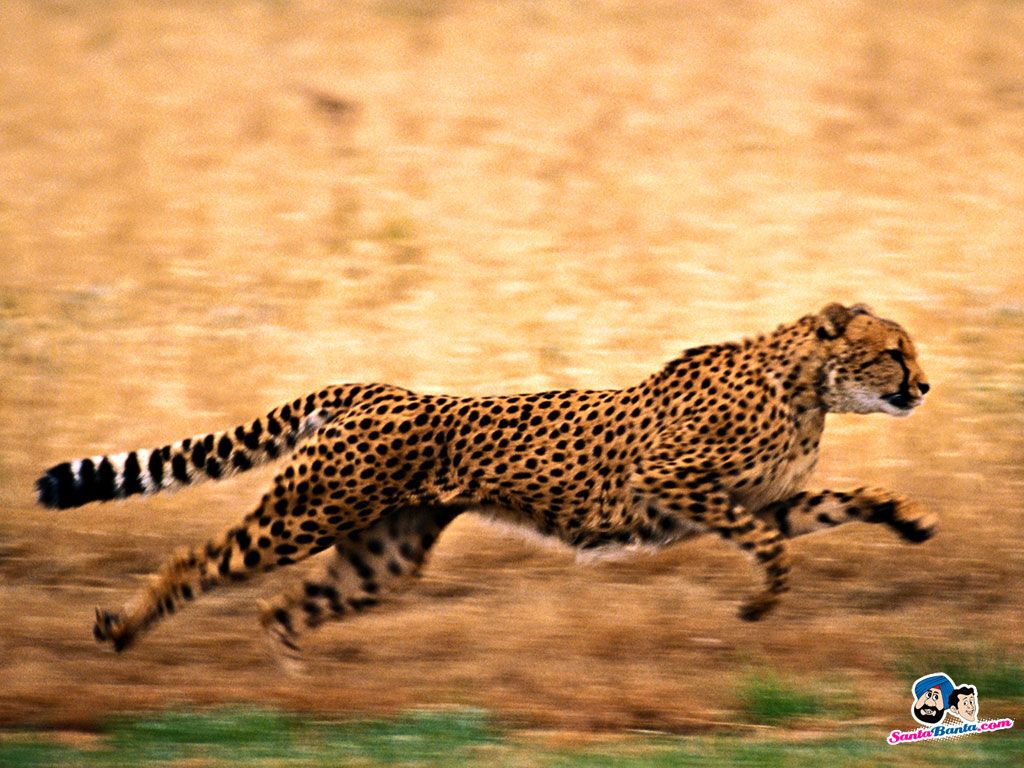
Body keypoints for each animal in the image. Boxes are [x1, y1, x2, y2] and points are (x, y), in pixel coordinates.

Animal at [36, 302, 935, 658]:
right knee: (202, 561)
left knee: (281, 605)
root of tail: (375, 388)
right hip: (307, 513)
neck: (808, 384)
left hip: (384, 553)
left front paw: (911, 520)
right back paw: (124, 630)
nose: (924, 386)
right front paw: (759, 603)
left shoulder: (767, 499)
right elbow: (767, 546)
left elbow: (845, 500)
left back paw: (291, 679)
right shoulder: (670, 481)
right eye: (894, 351)